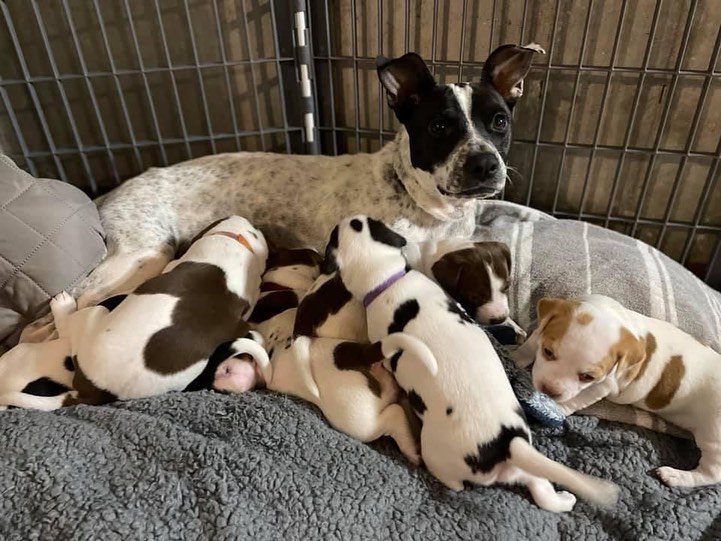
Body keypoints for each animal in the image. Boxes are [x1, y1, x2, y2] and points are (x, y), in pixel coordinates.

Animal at [56, 42, 544, 314]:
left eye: (499, 122)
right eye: (440, 126)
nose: (485, 165)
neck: (428, 210)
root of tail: (105, 197)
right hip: (141, 255)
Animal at [516, 294, 720, 488]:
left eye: (587, 377)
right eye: (547, 351)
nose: (549, 390)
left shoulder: (603, 384)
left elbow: (577, 399)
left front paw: (558, 408)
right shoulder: (543, 329)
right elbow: (532, 341)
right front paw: (515, 356)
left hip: (713, 437)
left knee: (712, 473)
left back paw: (675, 476)